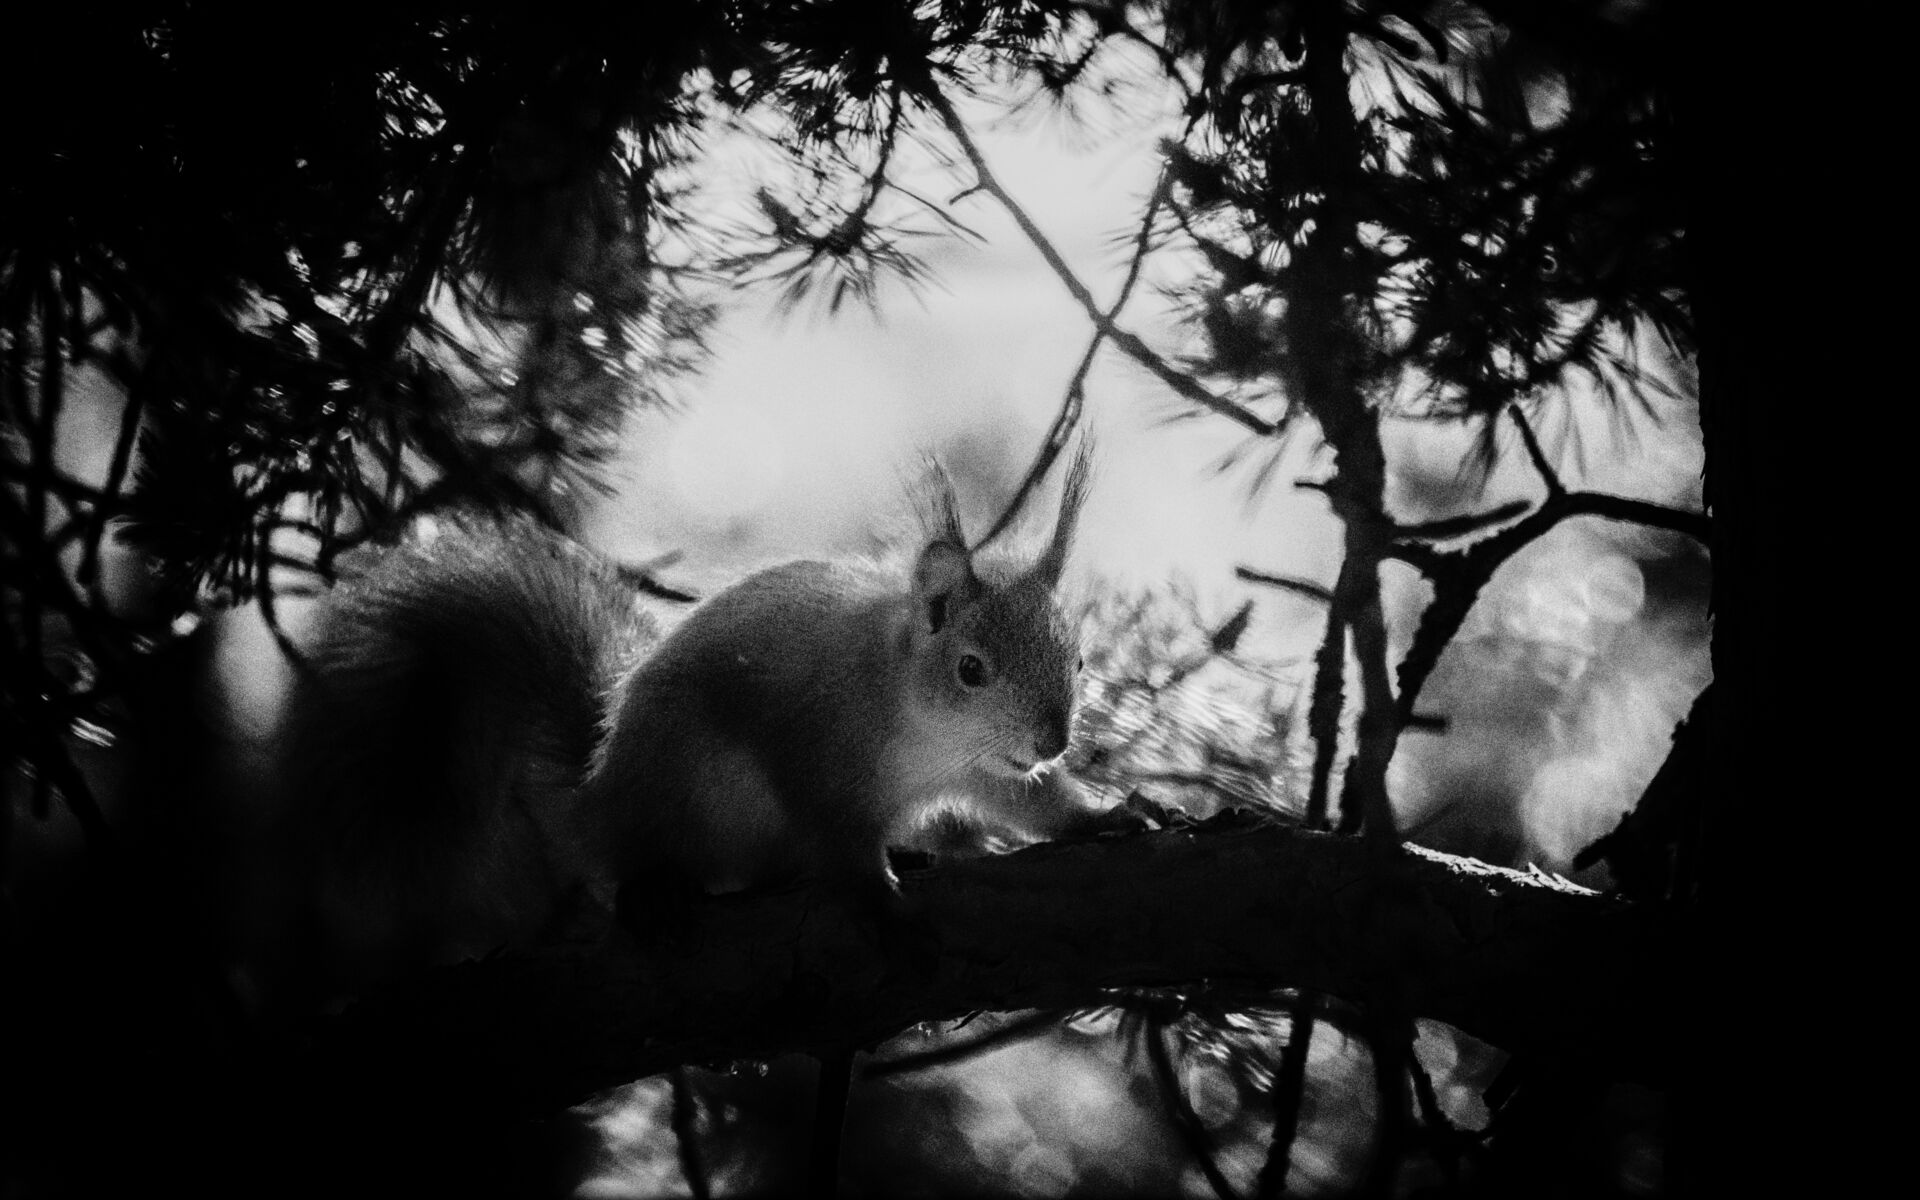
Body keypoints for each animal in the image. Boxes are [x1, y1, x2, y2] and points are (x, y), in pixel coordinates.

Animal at [270, 449, 1118, 998]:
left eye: (1077, 661)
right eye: (971, 669)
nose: (1053, 739)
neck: (924, 733)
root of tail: (592, 797)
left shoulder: (986, 771)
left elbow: (1032, 803)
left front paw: (1103, 816)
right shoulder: (818, 751)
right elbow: (839, 842)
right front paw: (881, 907)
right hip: (682, 785)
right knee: (638, 860)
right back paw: (656, 893)